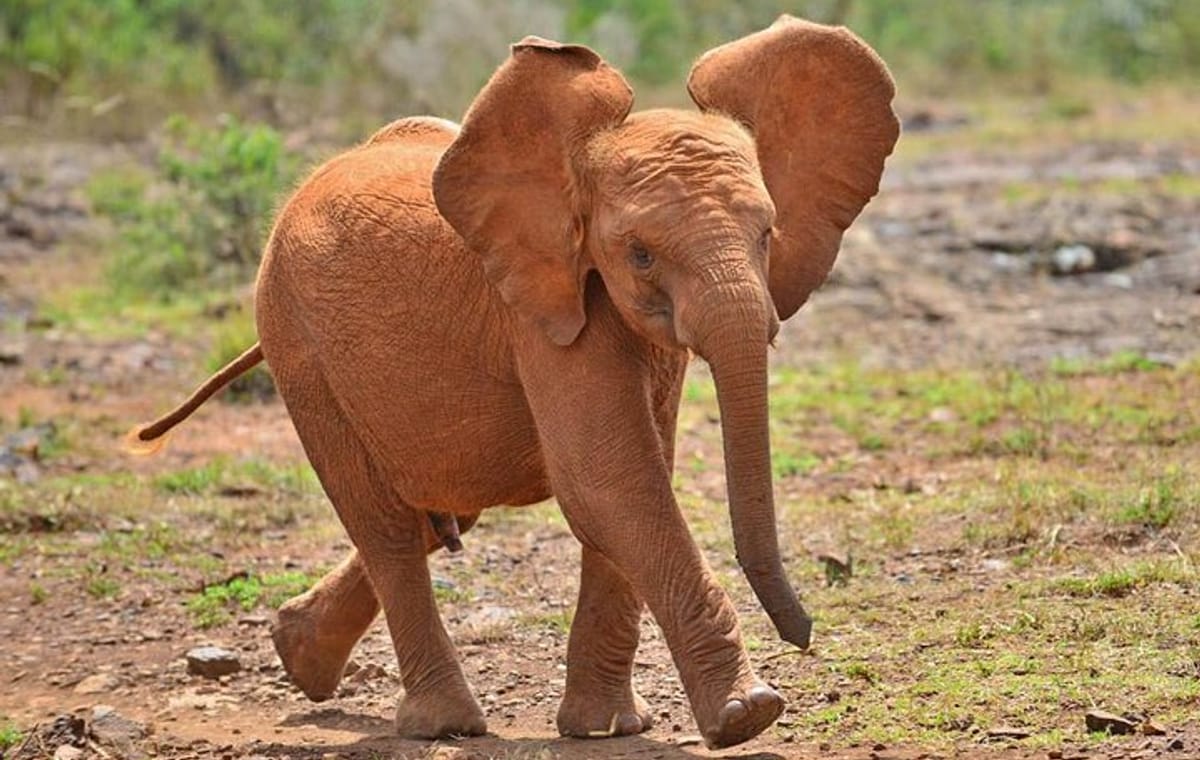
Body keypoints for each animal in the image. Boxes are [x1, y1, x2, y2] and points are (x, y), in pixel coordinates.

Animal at [131, 16, 898, 749]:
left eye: (767, 234)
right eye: (640, 254)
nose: (804, 635)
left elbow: (636, 473)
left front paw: (606, 728)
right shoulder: (538, 308)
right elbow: (609, 479)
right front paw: (747, 715)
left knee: (436, 508)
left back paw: (299, 655)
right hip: (297, 341)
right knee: (384, 525)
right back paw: (441, 724)